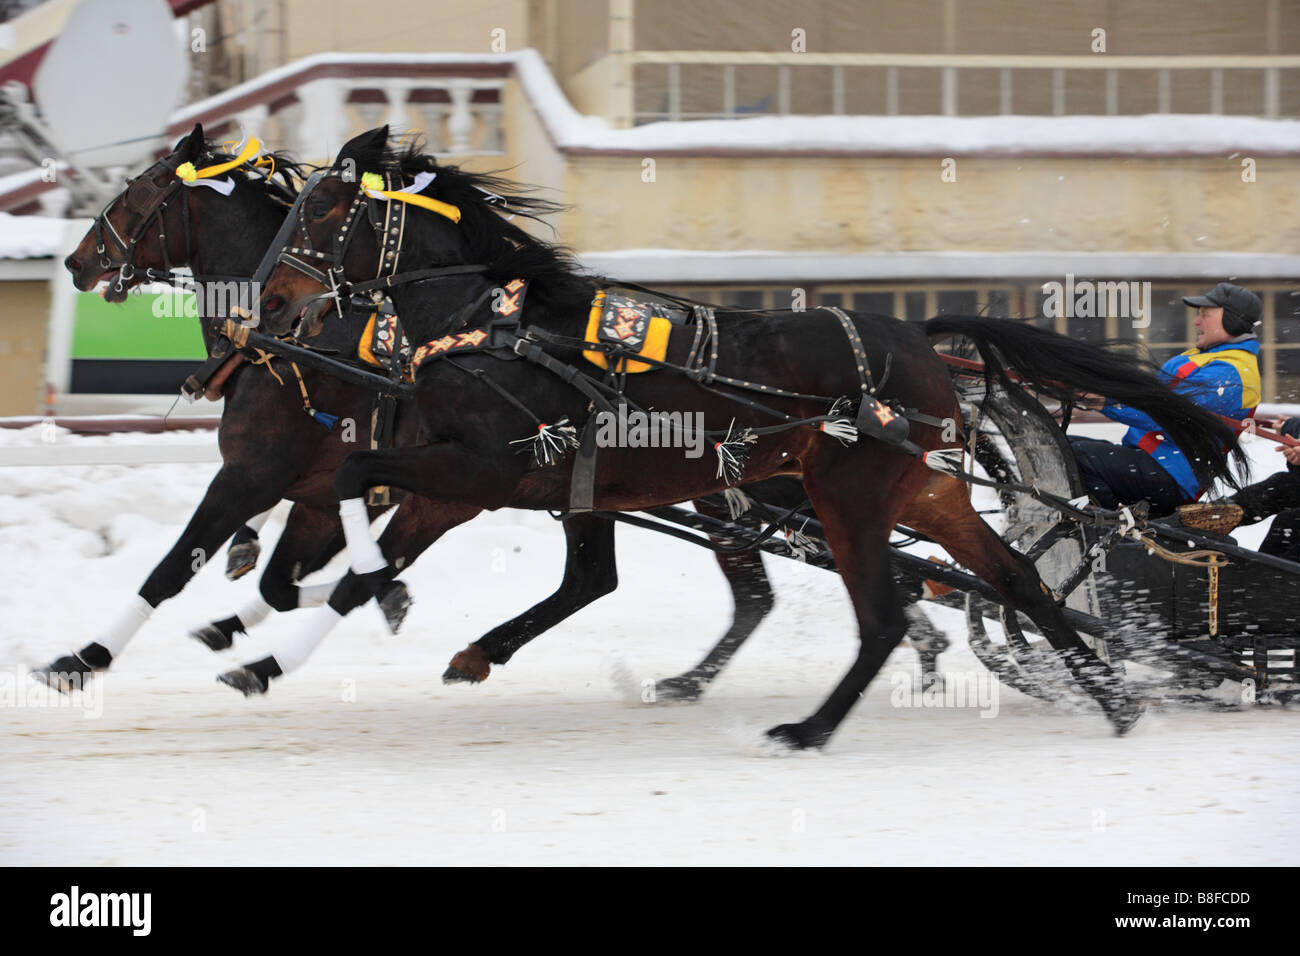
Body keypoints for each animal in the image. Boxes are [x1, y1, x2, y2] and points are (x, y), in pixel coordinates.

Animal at [250, 127, 1237, 749]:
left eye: (324, 212)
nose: (267, 300)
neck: (500, 325)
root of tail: (919, 340)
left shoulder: (483, 469)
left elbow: (358, 482)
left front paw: (306, 610)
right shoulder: (495, 482)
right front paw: (275, 646)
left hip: (849, 497)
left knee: (886, 616)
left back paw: (810, 729)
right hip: (924, 491)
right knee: (1018, 582)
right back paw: (1115, 704)